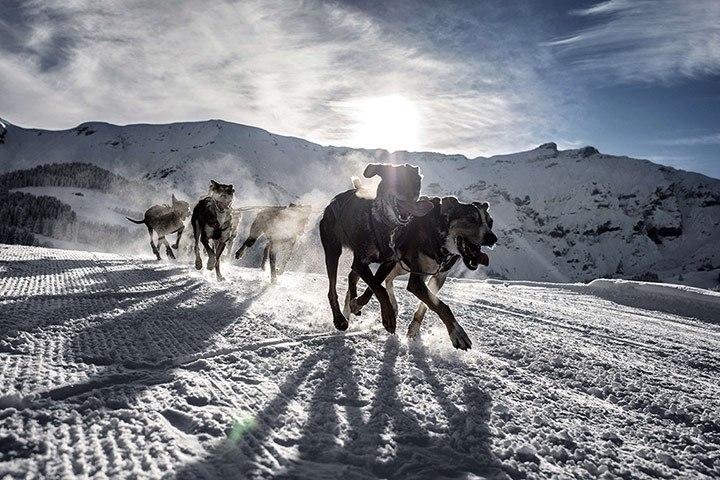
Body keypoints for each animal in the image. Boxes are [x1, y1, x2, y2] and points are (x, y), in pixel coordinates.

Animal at [348, 195, 496, 348]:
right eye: (471, 219)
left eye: (490, 222)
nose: (492, 238)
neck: (440, 237)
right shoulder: (416, 282)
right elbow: (443, 306)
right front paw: (457, 332)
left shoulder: (437, 278)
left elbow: (428, 304)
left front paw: (414, 328)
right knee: (363, 278)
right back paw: (354, 305)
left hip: (400, 266)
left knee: (387, 280)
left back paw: (392, 305)